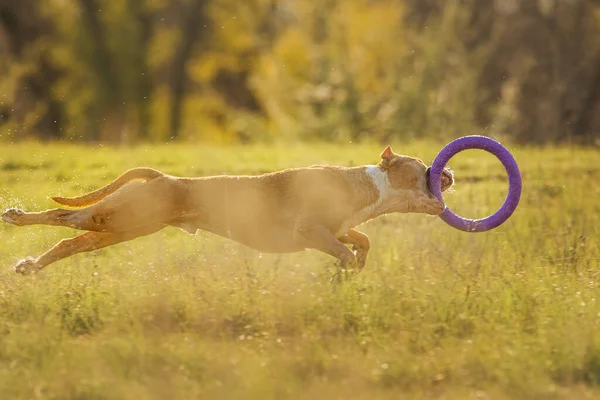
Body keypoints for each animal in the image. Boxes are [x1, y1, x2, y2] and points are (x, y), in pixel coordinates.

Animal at [0, 147, 452, 276]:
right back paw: (17, 217)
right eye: (422, 166)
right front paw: (346, 269)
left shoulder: (338, 228)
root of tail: (162, 176)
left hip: (123, 228)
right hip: (120, 218)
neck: (373, 186)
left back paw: (30, 265)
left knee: (69, 241)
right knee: (62, 218)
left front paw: (356, 265)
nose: (446, 174)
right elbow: (342, 249)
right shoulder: (309, 230)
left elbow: (363, 238)